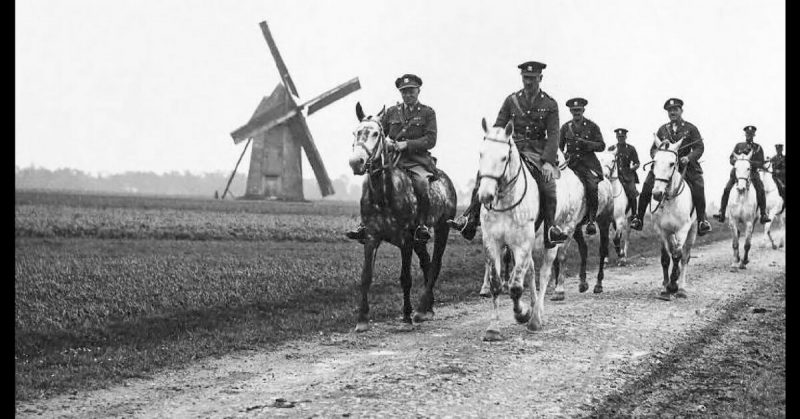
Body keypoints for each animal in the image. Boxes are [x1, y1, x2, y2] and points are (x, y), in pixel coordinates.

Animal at [348, 103, 456, 334]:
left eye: (376, 133)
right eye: (356, 132)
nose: (356, 162)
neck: (383, 195)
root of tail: (445, 180)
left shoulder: (405, 240)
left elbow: (405, 278)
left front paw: (406, 317)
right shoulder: (371, 237)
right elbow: (366, 276)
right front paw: (362, 319)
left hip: (442, 229)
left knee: (435, 265)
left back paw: (420, 309)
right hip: (419, 240)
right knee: (426, 263)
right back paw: (427, 309)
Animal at [476, 118, 556, 342]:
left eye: (504, 157)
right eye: (481, 154)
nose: (485, 196)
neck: (505, 202)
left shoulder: (522, 245)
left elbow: (515, 287)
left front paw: (522, 314)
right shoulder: (493, 243)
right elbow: (497, 284)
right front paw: (493, 328)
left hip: (551, 244)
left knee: (543, 274)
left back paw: (536, 317)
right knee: (530, 272)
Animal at [648, 136, 696, 300]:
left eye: (671, 163)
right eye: (654, 162)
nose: (657, 194)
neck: (669, 200)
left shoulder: (682, 230)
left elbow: (677, 256)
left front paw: (673, 285)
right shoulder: (661, 230)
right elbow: (665, 258)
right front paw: (665, 288)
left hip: (692, 232)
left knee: (685, 257)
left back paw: (681, 288)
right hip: (670, 233)